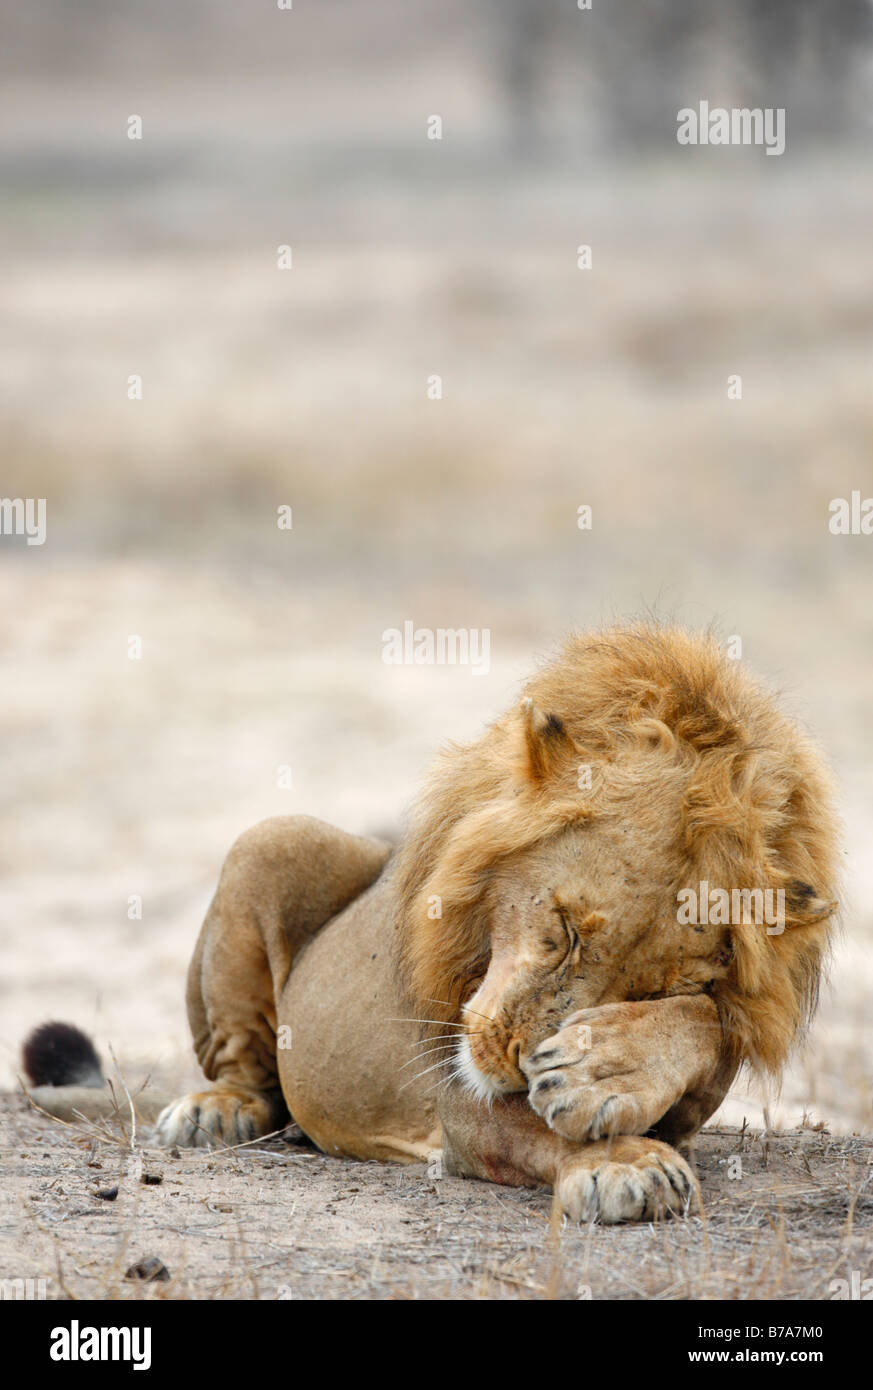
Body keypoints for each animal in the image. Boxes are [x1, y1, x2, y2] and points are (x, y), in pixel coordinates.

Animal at [22, 625, 839, 1223]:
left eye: (650, 988)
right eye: (565, 926)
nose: (522, 1067)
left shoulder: (704, 1071)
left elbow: (704, 1020)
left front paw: (603, 1071)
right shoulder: (456, 1090)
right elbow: (531, 1127)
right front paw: (623, 1162)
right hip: (273, 838)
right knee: (247, 1069)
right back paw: (217, 1111)